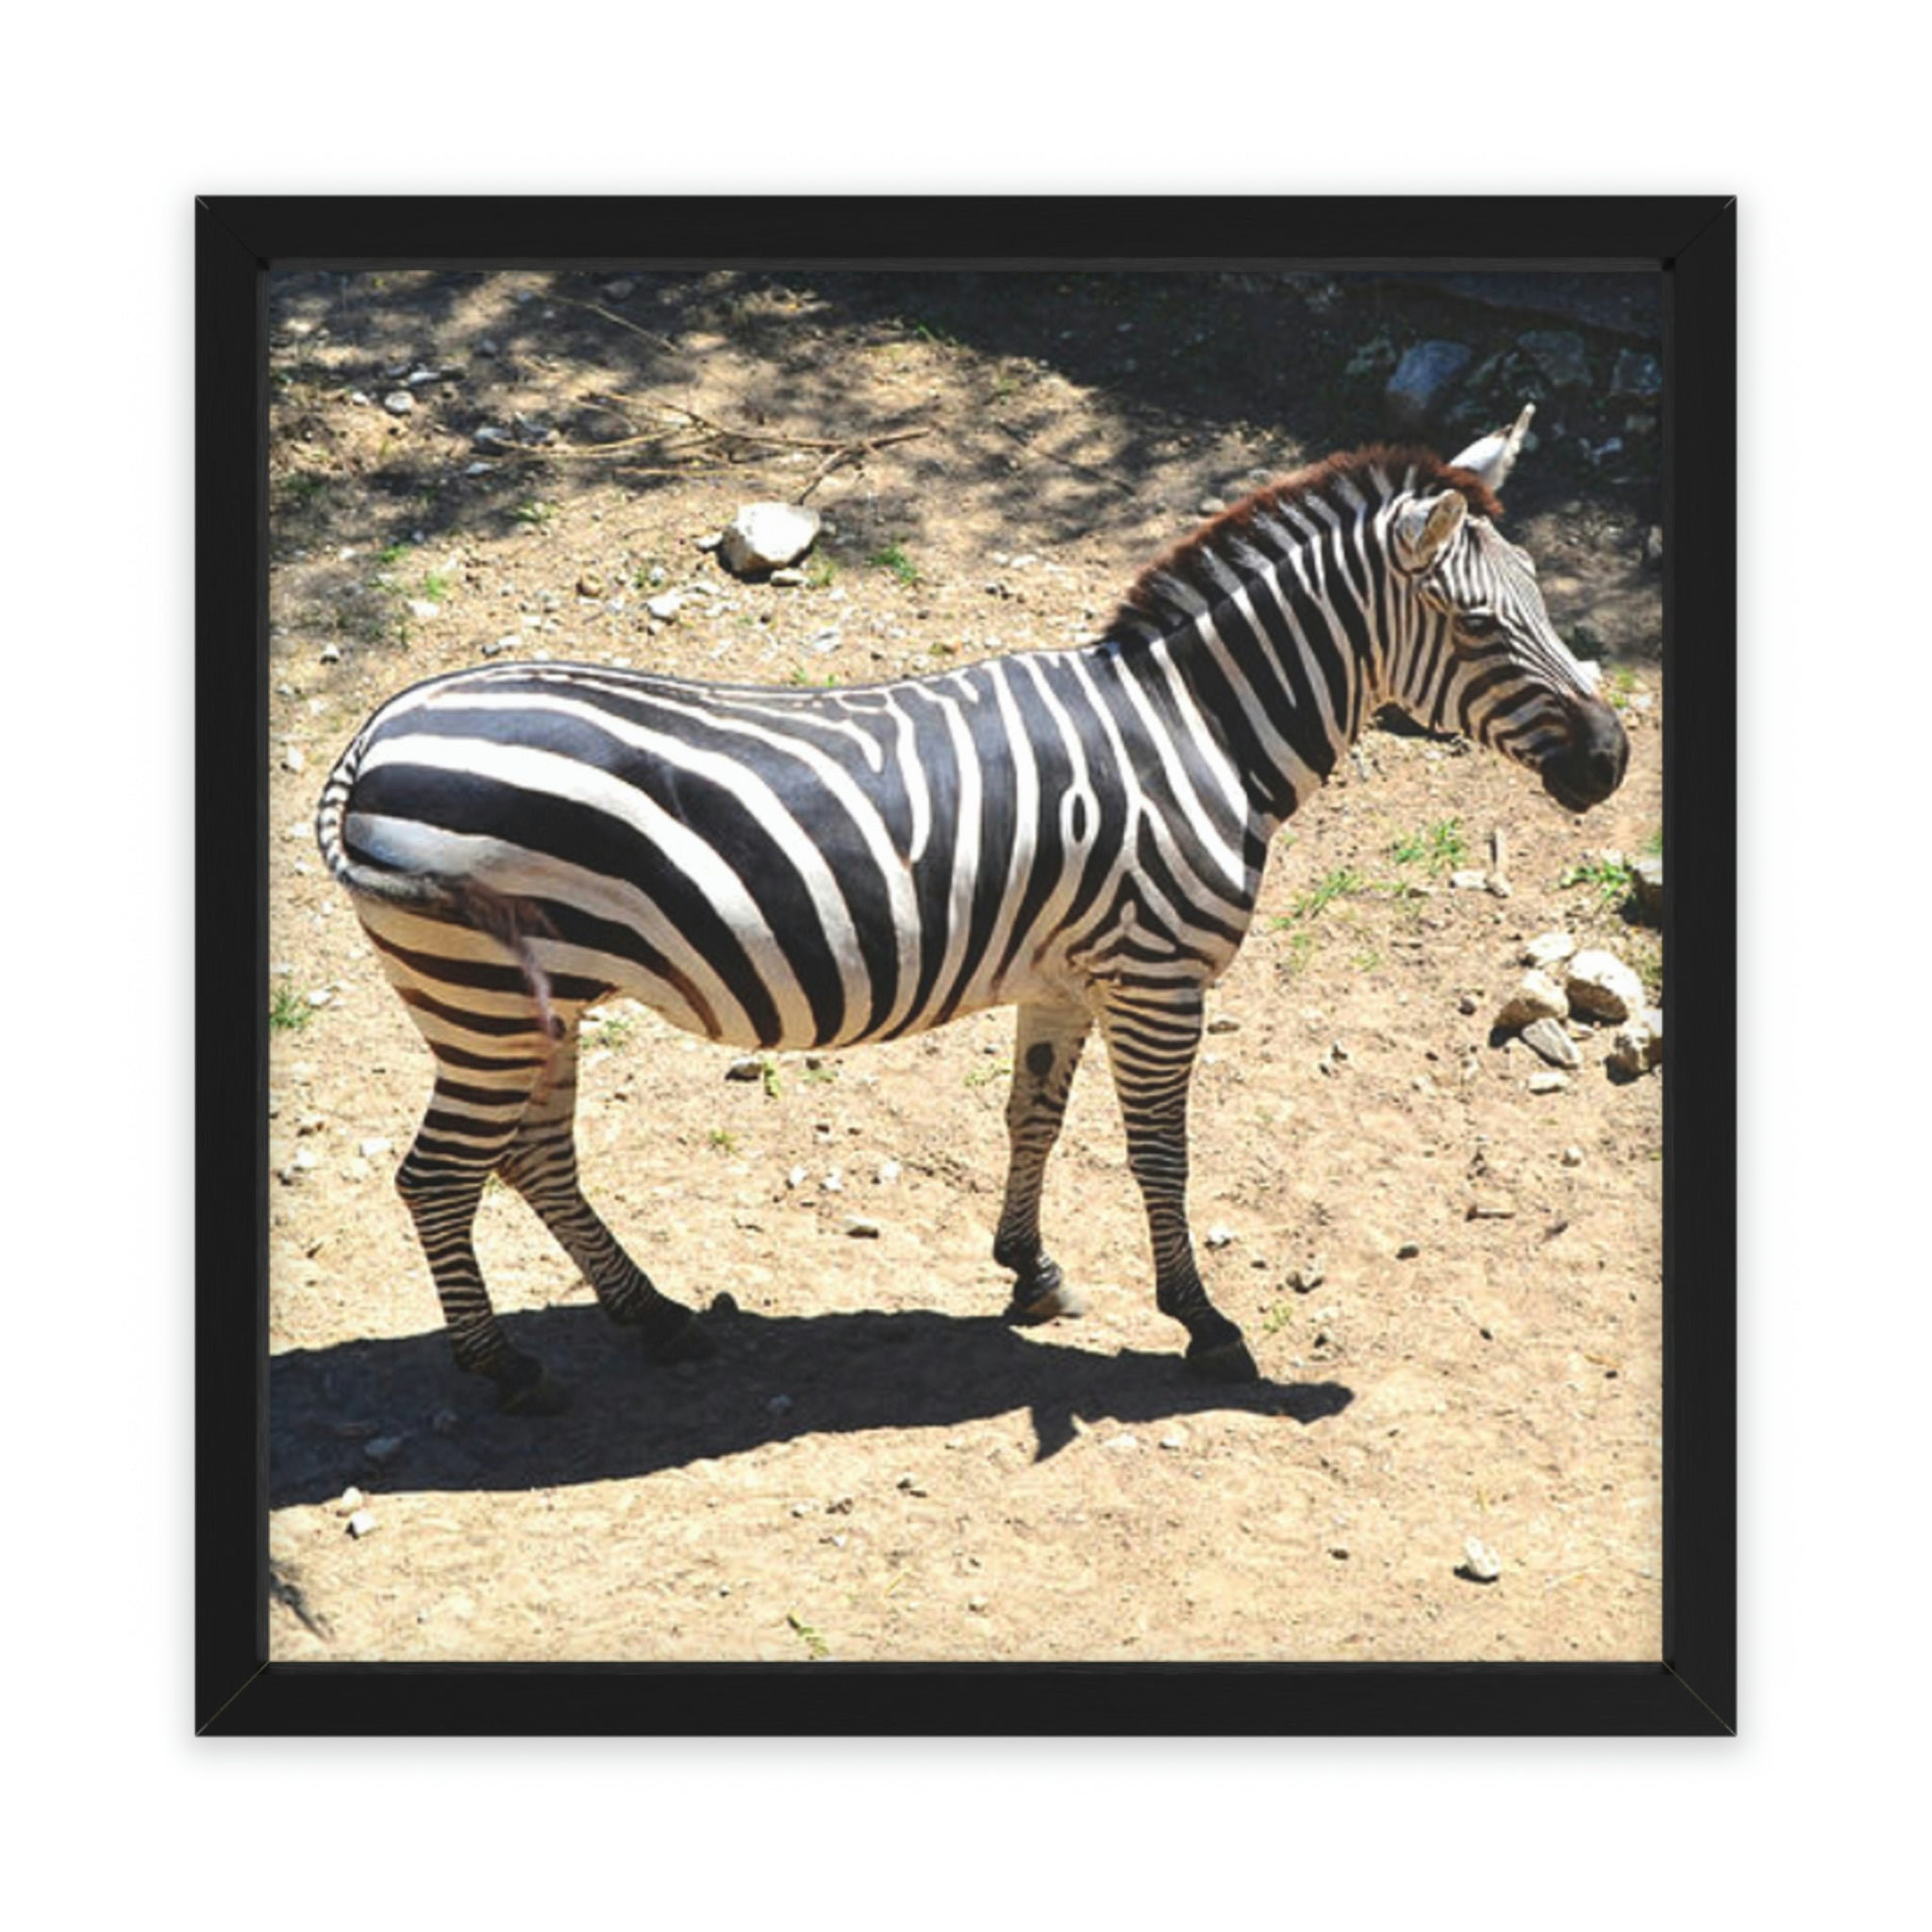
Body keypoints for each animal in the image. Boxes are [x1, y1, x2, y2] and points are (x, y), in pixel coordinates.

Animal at [314, 415, 1628, 1413]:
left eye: (1540, 600)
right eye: (1477, 624)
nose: (1612, 760)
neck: (1199, 731)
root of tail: (377, 734)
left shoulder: (1070, 971)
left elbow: (1030, 1117)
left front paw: (1028, 1269)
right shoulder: (1157, 974)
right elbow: (1160, 1151)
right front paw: (1201, 1319)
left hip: (533, 996)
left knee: (531, 1155)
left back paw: (659, 1317)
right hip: (482, 995)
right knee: (439, 1175)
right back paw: (504, 1367)